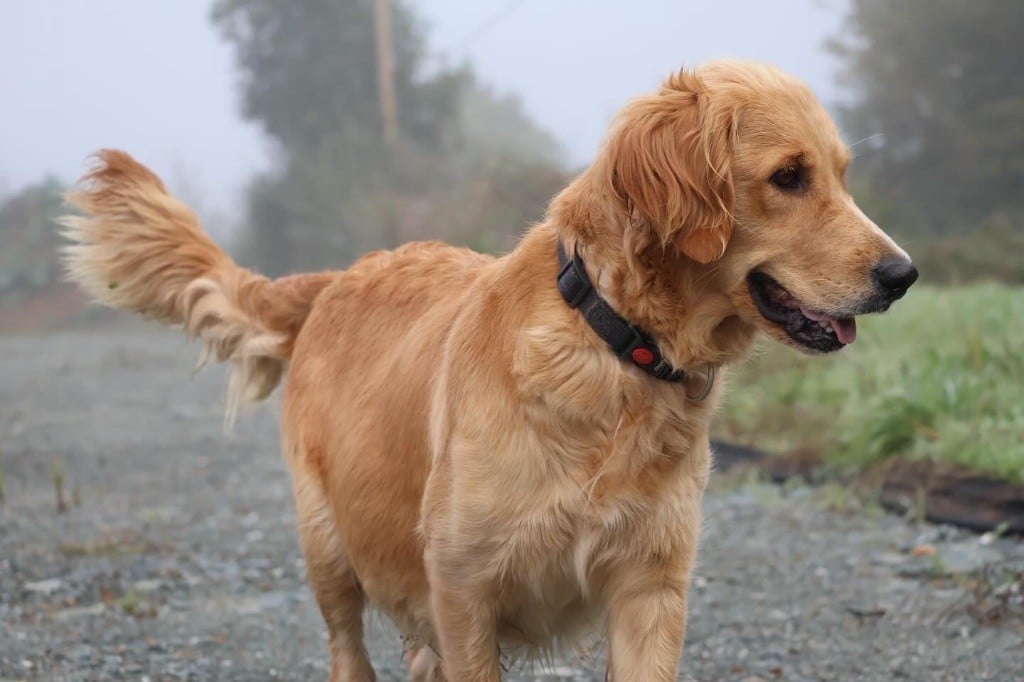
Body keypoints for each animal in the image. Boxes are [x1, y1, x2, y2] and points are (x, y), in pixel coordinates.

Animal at [59, 61, 917, 675]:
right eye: (788, 177)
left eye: (841, 173)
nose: (903, 275)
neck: (616, 347)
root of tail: (339, 276)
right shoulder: (463, 589)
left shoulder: (650, 589)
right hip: (329, 547)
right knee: (348, 651)